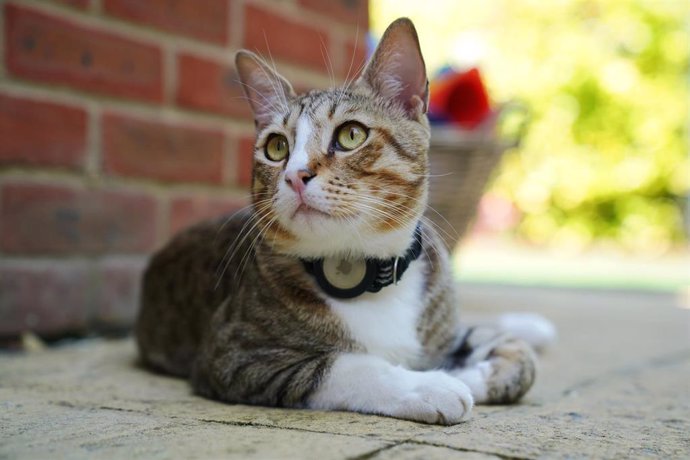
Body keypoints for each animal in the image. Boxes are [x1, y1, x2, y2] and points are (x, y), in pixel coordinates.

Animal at [136, 18, 552, 428]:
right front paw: (432, 384)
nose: (295, 176)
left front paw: (467, 370)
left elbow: (520, 360)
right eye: (276, 147)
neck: (364, 271)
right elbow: (347, 365)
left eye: (351, 135)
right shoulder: (233, 354)